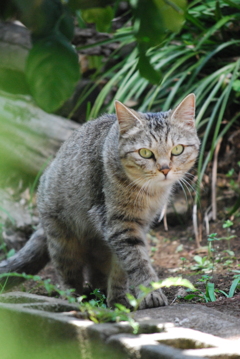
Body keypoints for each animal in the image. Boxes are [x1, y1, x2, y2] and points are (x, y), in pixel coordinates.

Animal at [0, 94, 200, 310]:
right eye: (145, 153)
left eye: (177, 150)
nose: (164, 169)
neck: (150, 193)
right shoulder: (119, 224)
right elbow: (137, 262)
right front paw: (150, 293)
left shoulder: (135, 227)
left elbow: (121, 270)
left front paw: (119, 299)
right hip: (63, 241)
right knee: (68, 275)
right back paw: (73, 298)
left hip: (97, 247)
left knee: (97, 273)